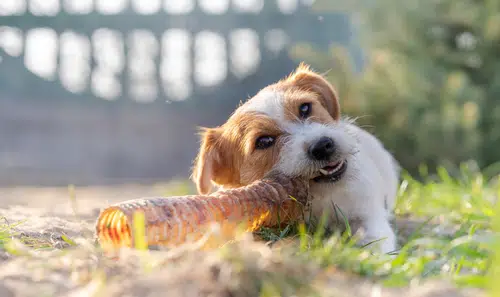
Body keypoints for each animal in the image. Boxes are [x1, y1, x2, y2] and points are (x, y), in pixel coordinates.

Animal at [190, 63, 398, 253]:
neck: (320, 197)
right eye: (264, 141)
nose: (322, 146)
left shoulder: (367, 215)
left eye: (305, 108)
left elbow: (374, 241)